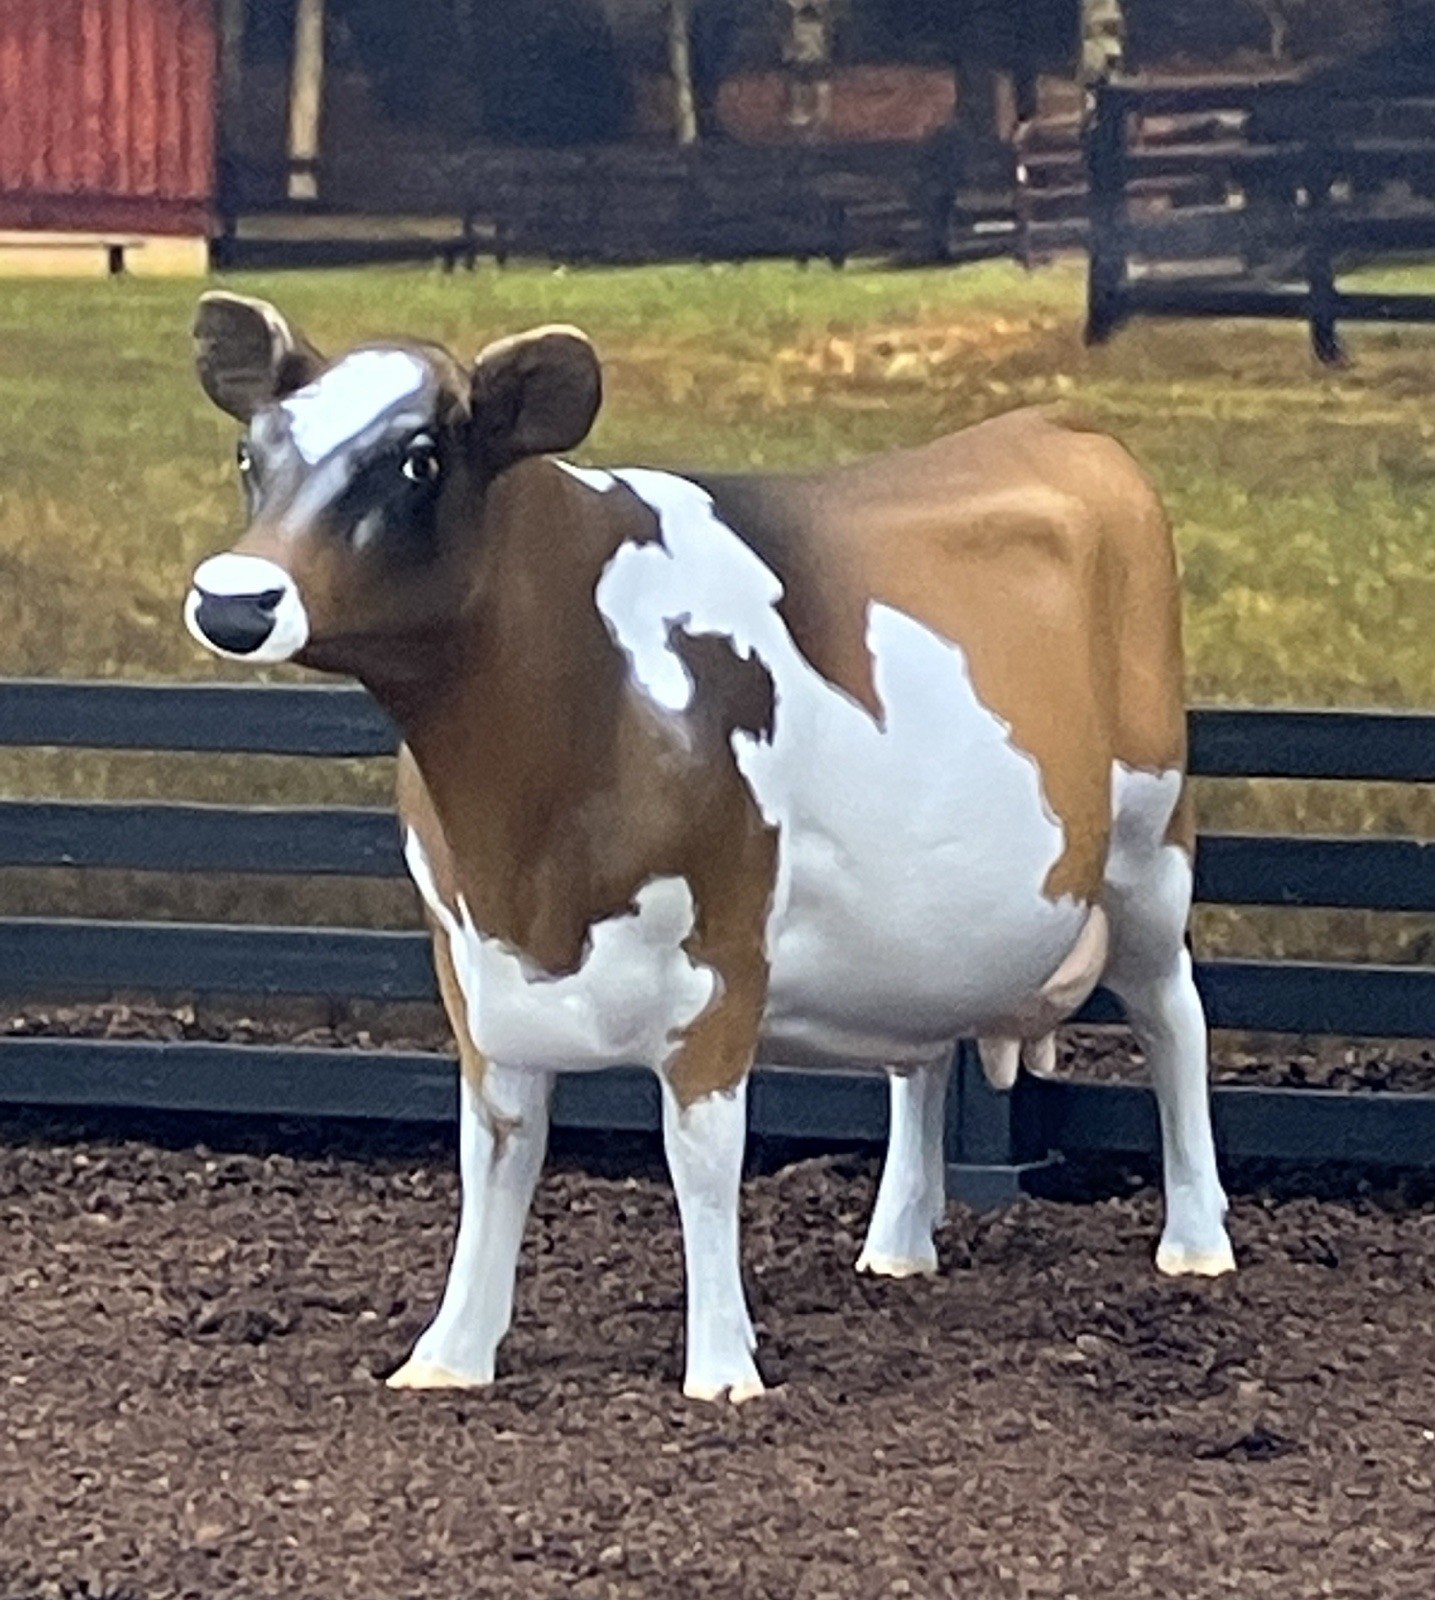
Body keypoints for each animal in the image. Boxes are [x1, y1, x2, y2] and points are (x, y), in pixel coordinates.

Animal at [184, 291, 1234, 1402]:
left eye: (421, 459)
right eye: (252, 451)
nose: (234, 598)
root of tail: (1056, 424)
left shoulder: (724, 954)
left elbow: (701, 1158)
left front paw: (723, 1369)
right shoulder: (473, 962)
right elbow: (497, 1154)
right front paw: (448, 1356)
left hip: (1147, 850)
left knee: (1173, 1017)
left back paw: (1195, 1242)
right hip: (928, 924)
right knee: (919, 1060)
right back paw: (896, 1245)